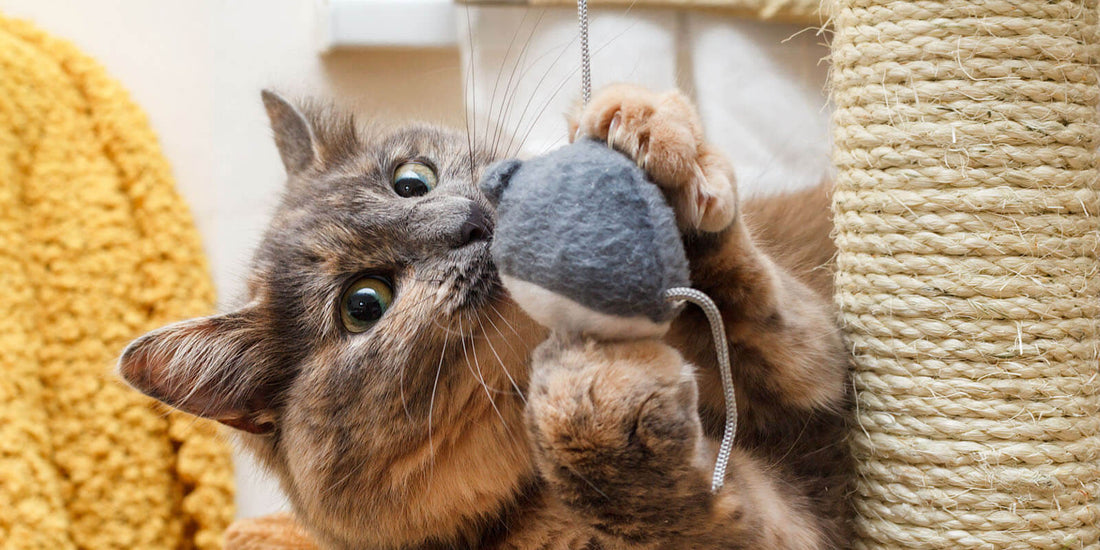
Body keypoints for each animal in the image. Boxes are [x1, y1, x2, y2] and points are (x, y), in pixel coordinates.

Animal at [122, 83, 858, 547]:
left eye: (411, 180)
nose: (472, 224)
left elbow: (768, 316)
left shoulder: (817, 369)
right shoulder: (792, 523)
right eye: (363, 304)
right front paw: (590, 402)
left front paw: (648, 134)